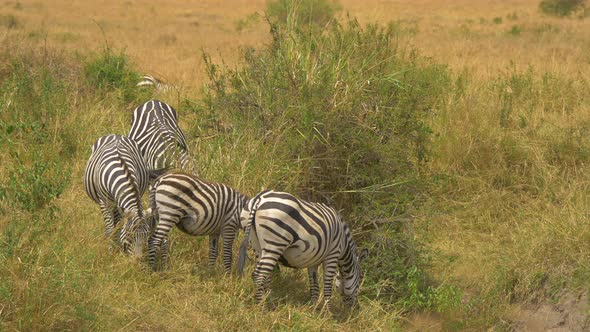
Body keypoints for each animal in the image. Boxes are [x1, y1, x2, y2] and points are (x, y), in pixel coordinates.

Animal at [237, 191, 368, 310]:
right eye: (361, 277)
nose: (357, 308)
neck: (344, 244)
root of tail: (260, 198)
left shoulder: (314, 261)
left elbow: (315, 286)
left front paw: (314, 310)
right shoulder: (332, 254)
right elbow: (327, 285)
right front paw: (329, 312)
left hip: (256, 244)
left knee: (265, 276)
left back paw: (270, 304)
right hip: (275, 243)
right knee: (258, 275)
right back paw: (262, 306)